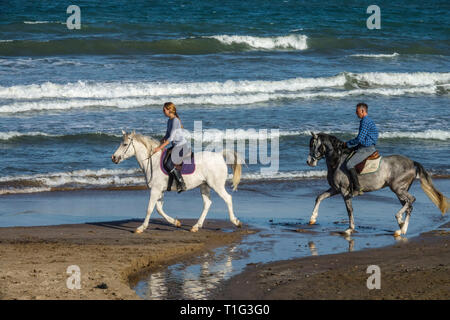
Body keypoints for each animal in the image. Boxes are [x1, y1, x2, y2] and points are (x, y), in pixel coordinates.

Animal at [111, 130, 243, 232]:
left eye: (125, 144)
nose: (113, 158)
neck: (153, 161)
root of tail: (219, 155)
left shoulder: (155, 190)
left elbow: (149, 209)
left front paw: (141, 228)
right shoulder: (160, 190)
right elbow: (159, 209)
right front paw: (176, 222)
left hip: (216, 185)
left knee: (228, 199)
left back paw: (236, 222)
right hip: (204, 185)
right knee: (207, 203)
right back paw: (196, 226)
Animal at [306, 131, 446, 236]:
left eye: (313, 145)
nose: (309, 161)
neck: (337, 161)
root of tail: (412, 162)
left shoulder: (344, 191)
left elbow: (349, 209)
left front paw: (350, 229)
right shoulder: (335, 189)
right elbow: (319, 197)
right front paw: (312, 218)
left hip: (398, 188)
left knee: (411, 200)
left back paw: (400, 223)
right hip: (400, 191)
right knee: (409, 205)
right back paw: (401, 228)